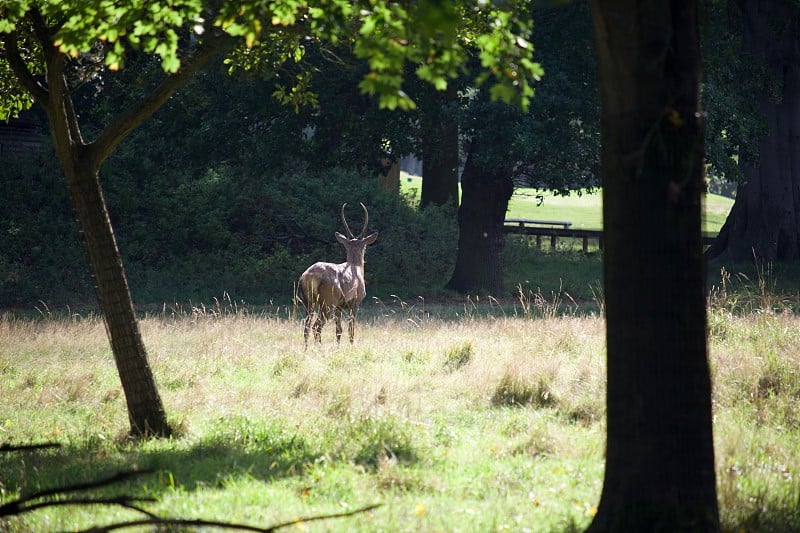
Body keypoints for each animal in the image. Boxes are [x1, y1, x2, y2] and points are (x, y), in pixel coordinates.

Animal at [296, 202, 378, 348]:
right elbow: (351, 329)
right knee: (317, 326)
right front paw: (351, 347)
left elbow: (338, 330)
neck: (357, 268)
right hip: (328, 300)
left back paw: (306, 348)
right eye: (365, 246)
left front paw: (338, 347)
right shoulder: (355, 302)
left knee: (306, 326)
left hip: (308, 301)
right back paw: (319, 347)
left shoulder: (339, 306)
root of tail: (310, 276)